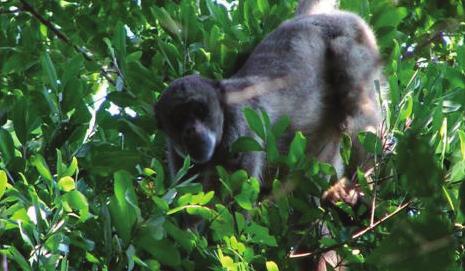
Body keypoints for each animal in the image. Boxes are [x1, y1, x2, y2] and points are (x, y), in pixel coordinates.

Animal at [154, 0, 382, 193]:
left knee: (358, 113)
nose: (191, 130)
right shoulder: (176, 155)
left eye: (201, 111)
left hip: (353, 35)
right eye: (179, 119)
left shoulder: (241, 131)